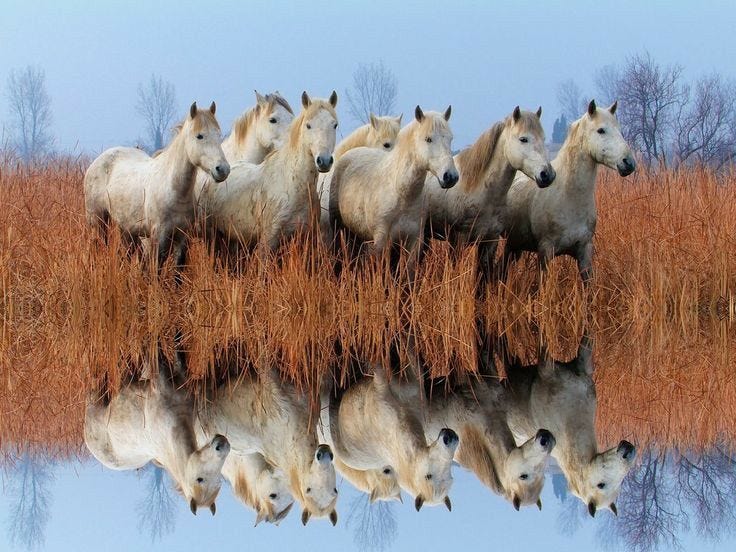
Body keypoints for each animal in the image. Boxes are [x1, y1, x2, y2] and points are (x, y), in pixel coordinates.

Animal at [84, 102, 230, 270]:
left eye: (218, 135)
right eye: (199, 136)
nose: (223, 169)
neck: (173, 188)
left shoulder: (182, 236)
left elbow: (178, 269)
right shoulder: (159, 236)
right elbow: (156, 268)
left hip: (126, 228)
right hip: (98, 221)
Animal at [329, 106, 459, 268]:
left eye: (450, 138)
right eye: (428, 139)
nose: (450, 176)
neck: (401, 193)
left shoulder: (414, 242)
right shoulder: (382, 241)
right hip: (339, 228)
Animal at [423, 107, 555, 279]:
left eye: (543, 138)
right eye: (523, 139)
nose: (547, 175)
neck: (480, 191)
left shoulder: (490, 241)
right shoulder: (458, 240)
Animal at [502, 100, 636, 281]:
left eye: (619, 129)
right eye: (601, 130)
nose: (628, 163)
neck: (569, 197)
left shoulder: (584, 252)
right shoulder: (546, 251)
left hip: (514, 244)